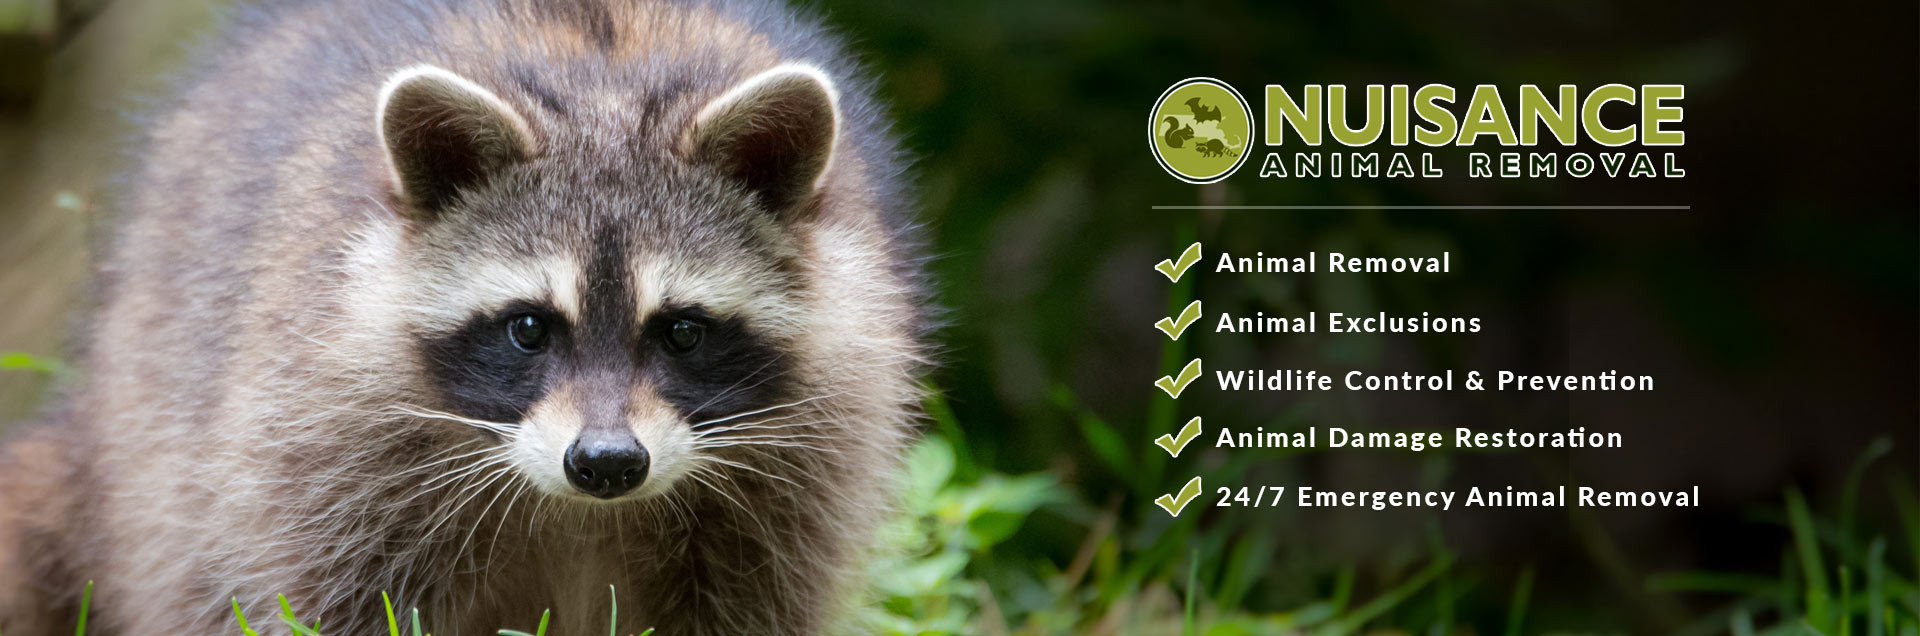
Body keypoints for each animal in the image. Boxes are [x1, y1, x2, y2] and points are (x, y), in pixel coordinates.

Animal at [0, 0, 926, 633]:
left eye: (683, 332)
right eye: (529, 328)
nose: (606, 463)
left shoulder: (808, 459)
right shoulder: (321, 433)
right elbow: (330, 598)